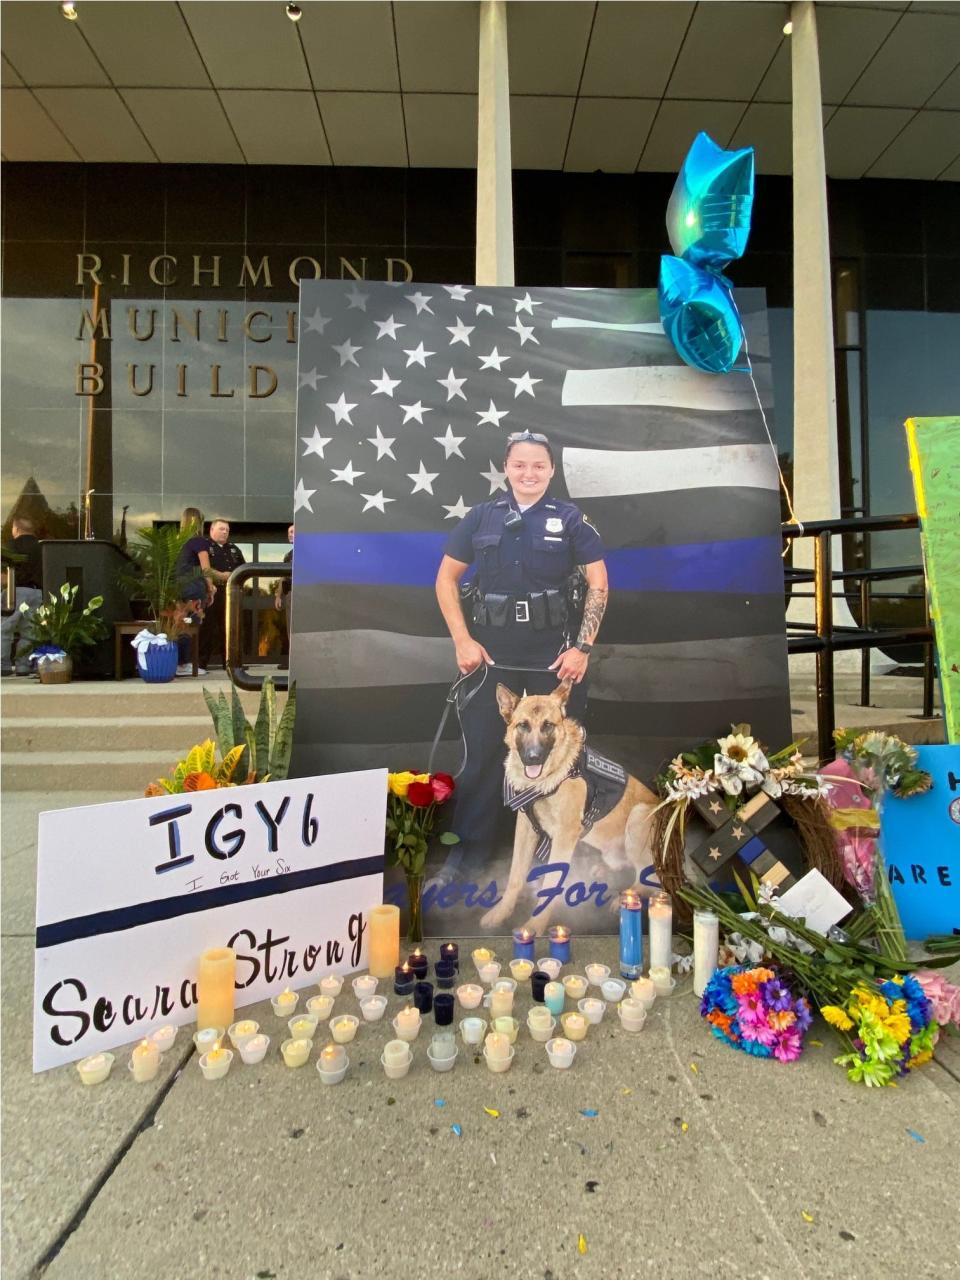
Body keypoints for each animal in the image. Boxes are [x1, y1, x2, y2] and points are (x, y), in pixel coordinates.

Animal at [481, 680, 660, 931]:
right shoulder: (526, 828)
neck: (549, 779)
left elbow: (551, 883)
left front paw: (534, 927)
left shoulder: (564, 836)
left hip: (637, 816)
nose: (533, 757)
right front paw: (500, 913)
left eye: (548, 725)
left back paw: (626, 897)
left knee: (650, 878)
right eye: (523, 725)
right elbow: (516, 875)